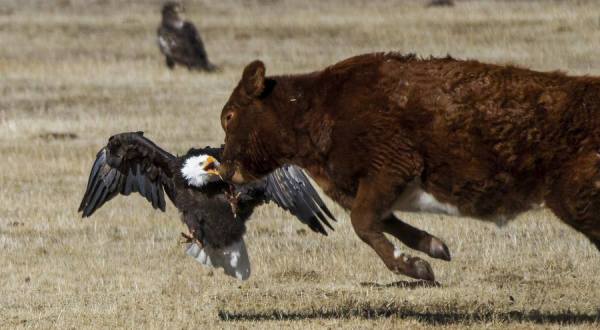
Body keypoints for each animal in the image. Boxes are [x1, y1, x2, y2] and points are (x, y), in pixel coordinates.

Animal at [218, 53, 600, 282]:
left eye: (230, 116)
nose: (224, 170)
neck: (317, 108)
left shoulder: (390, 169)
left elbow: (363, 223)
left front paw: (416, 267)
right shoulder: (364, 188)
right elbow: (381, 221)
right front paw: (434, 248)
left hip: (576, 201)